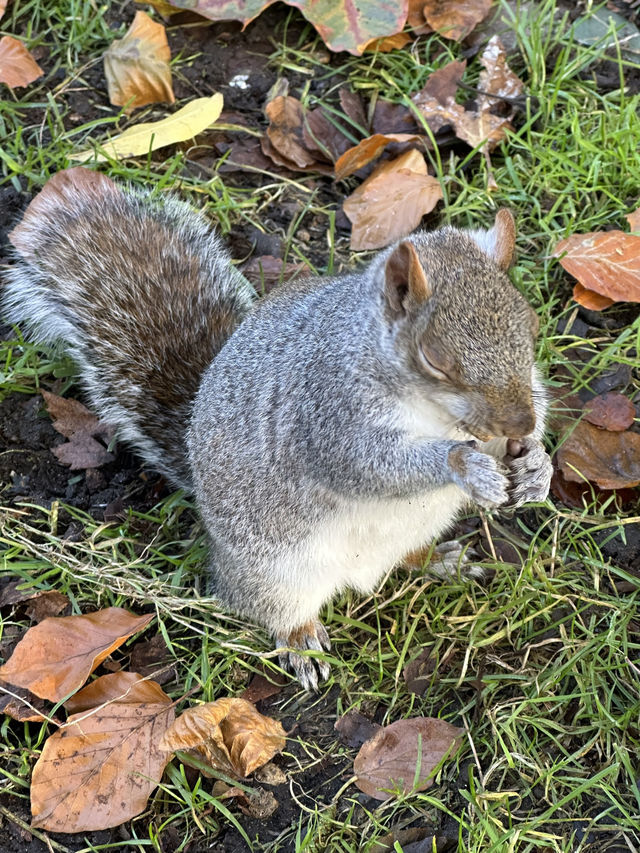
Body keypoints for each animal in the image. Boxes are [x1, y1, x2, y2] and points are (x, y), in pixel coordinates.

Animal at [1, 168, 552, 692]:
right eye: (436, 359)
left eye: (531, 325)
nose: (518, 424)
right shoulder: (325, 411)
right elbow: (371, 467)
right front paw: (466, 465)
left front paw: (536, 464)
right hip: (275, 571)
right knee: (274, 610)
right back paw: (301, 642)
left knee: (408, 558)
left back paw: (442, 559)